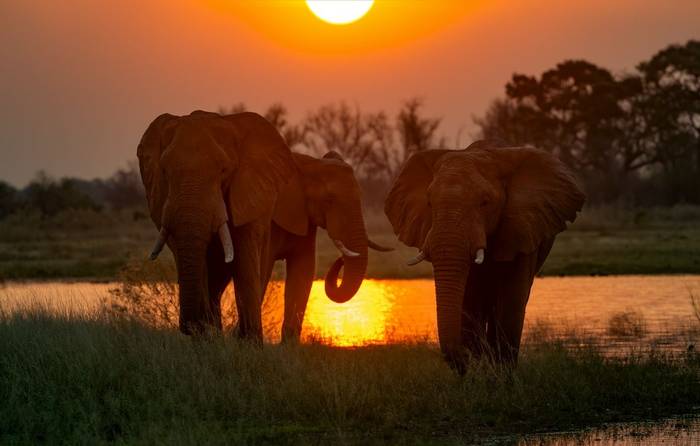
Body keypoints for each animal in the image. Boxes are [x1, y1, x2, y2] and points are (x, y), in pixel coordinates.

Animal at [137, 110, 297, 339]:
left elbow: (245, 259)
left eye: (223, 170)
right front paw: (207, 338)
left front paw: (248, 343)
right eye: (165, 171)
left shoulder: (249, 192)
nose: (187, 326)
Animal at [384, 141, 585, 367]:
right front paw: (479, 367)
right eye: (429, 202)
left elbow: (510, 303)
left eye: (485, 202)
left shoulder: (521, 227)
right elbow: (471, 302)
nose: (463, 356)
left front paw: (500, 372)